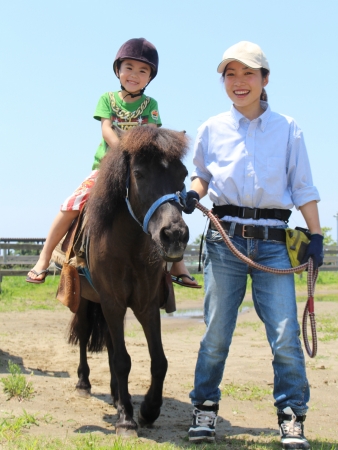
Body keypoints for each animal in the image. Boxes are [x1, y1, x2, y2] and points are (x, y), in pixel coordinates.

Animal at [68, 125, 190, 436]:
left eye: (183, 174)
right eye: (139, 173)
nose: (174, 235)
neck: (129, 246)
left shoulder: (146, 304)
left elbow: (159, 361)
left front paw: (147, 410)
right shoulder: (112, 302)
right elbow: (123, 360)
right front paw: (126, 420)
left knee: (112, 345)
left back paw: (116, 396)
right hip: (86, 301)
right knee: (85, 336)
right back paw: (84, 383)